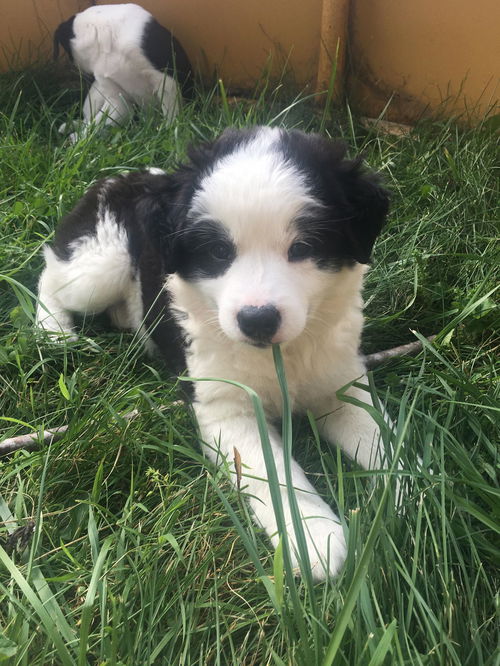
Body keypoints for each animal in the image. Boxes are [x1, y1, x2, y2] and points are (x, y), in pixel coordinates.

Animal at [38, 127, 390, 580]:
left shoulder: (340, 381)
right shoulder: (225, 409)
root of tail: (122, 177)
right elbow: (272, 472)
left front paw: (417, 491)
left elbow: (384, 437)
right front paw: (313, 537)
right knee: (51, 274)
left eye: (303, 247)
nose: (258, 320)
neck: (281, 356)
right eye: (220, 252)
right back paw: (53, 332)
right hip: (100, 263)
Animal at [53, 3, 192, 141]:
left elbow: (171, 114)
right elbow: (97, 123)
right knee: (88, 120)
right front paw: (82, 140)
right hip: (95, 94)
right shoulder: (116, 97)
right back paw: (72, 128)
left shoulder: (165, 81)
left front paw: (170, 134)